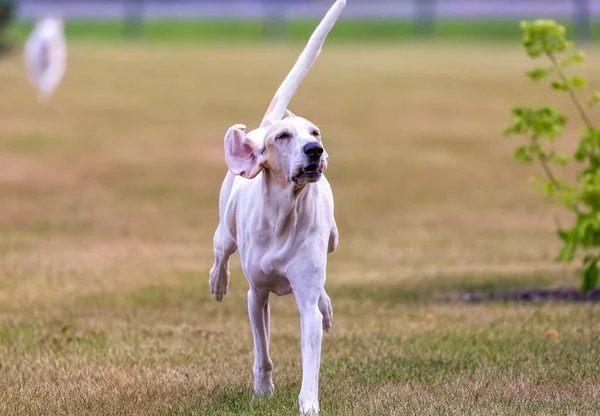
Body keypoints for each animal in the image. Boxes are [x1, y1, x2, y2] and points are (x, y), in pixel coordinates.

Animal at [209, 1, 344, 414]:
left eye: (315, 132)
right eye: (283, 137)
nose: (315, 150)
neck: (284, 216)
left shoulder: (305, 297)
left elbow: (310, 345)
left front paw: (309, 402)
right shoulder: (257, 294)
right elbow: (262, 350)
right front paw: (263, 390)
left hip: (333, 238)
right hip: (225, 231)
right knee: (220, 252)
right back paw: (218, 280)